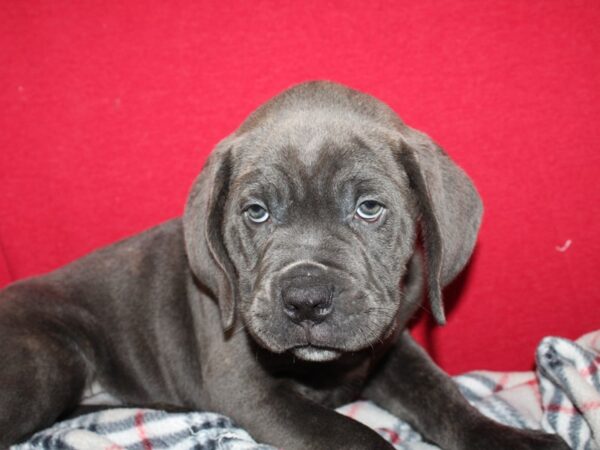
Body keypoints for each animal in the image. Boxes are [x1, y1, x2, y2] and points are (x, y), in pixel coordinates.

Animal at [0, 81, 568, 450]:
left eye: (369, 208)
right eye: (256, 212)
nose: (307, 301)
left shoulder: (392, 349)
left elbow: (445, 396)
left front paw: (510, 438)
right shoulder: (247, 388)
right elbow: (356, 436)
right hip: (49, 360)